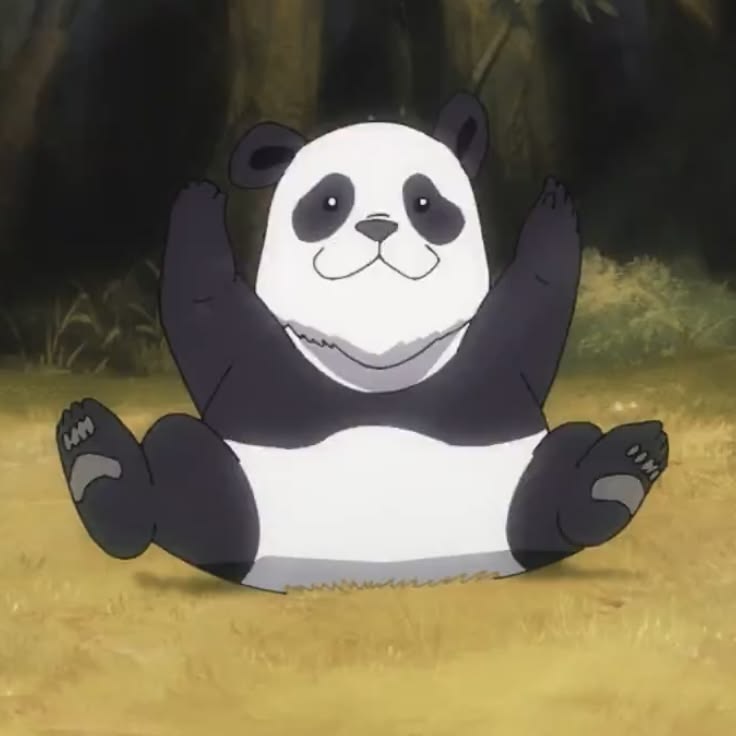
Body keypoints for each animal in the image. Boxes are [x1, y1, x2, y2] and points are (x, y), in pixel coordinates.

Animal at [56, 92, 669, 593]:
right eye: (330, 203)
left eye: (423, 202)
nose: (378, 226)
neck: (377, 353)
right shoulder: (260, 365)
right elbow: (208, 315)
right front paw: (200, 200)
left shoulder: (489, 364)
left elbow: (530, 312)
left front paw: (552, 210)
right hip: (242, 496)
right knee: (183, 459)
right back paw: (96, 458)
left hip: (516, 488)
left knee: (562, 465)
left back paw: (620, 470)